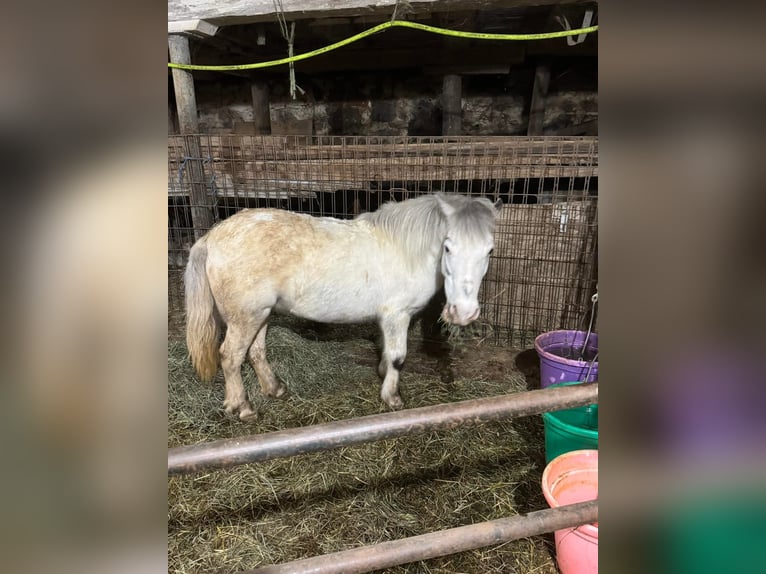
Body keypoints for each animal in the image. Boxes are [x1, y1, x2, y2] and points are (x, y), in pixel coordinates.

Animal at [184, 191, 500, 420]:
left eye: (489, 250)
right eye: (448, 247)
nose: (463, 313)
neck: (406, 249)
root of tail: (211, 237)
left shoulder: (386, 318)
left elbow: (385, 352)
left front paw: (383, 374)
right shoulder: (397, 316)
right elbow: (398, 356)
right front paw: (392, 398)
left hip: (261, 315)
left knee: (256, 352)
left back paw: (274, 389)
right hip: (245, 318)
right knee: (230, 357)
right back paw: (243, 407)